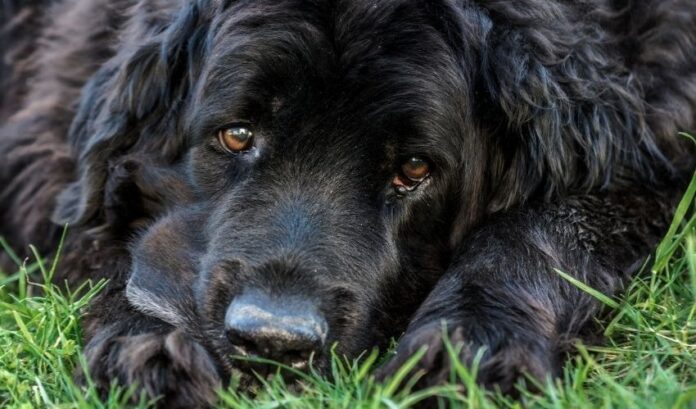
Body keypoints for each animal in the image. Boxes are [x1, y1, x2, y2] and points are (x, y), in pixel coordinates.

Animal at [0, 0, 692, 404]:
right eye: (237, 134)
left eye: (413, 168)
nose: (274, 338)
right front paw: (147, 350)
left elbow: (548, 226)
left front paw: (468, 352)